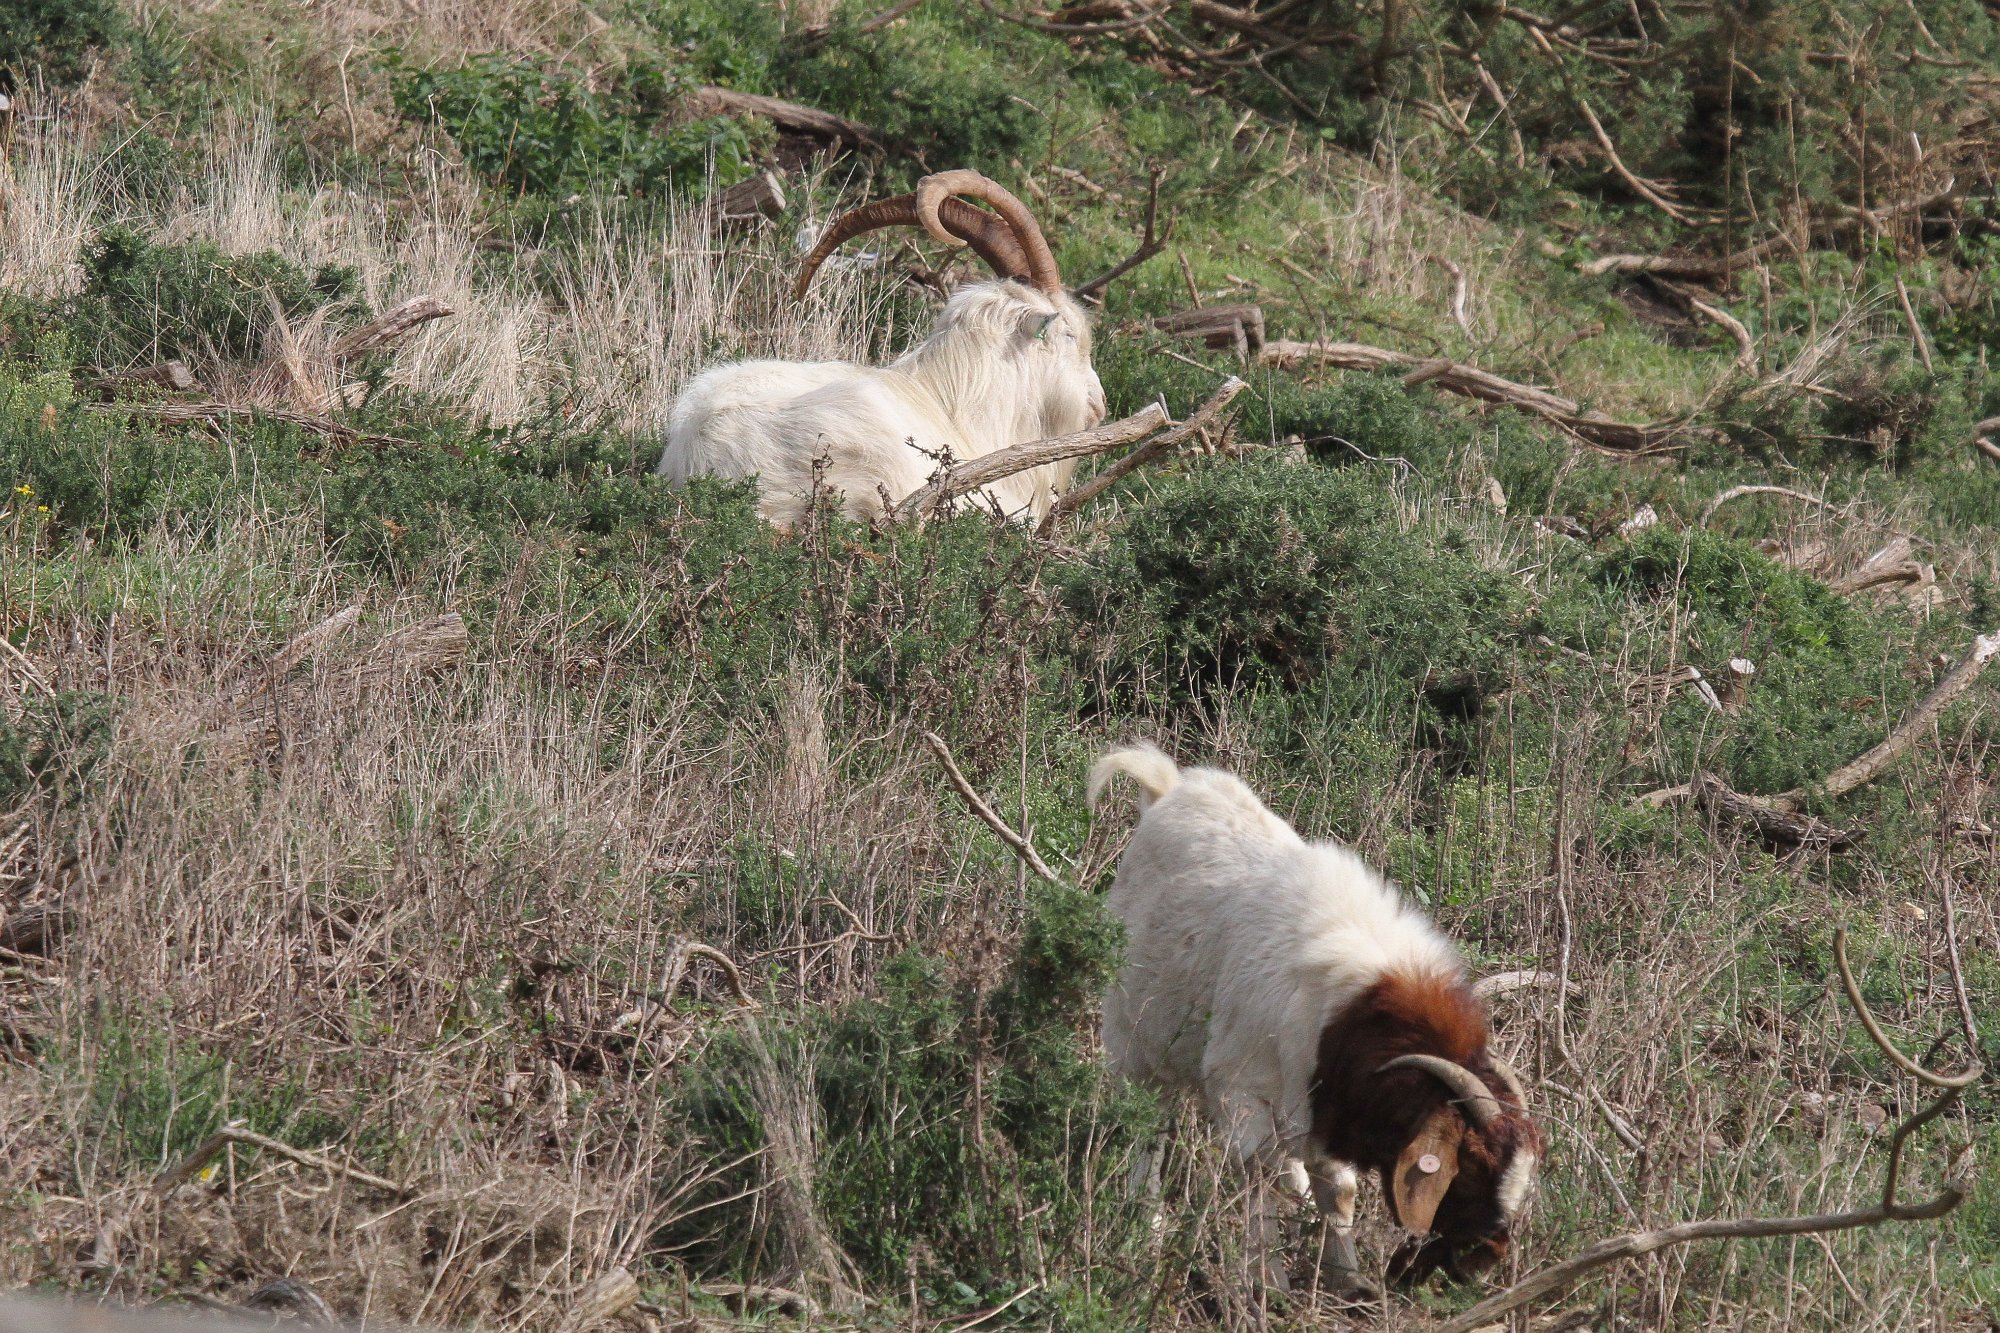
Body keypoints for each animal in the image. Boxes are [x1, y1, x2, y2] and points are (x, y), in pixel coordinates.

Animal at [1088, 740, 1536, 1304]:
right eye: (1472, 1167)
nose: (1486, 1259)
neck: (1351, 1011)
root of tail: (1168, 789)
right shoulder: (1240, 1088)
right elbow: (1257, 1174)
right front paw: (1270, 1286)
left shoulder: (1327, 1099)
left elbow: (1337, 1186)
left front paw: (1348, 1278)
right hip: (1135, 1041)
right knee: (1149, 1129)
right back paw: (1143, 1234)